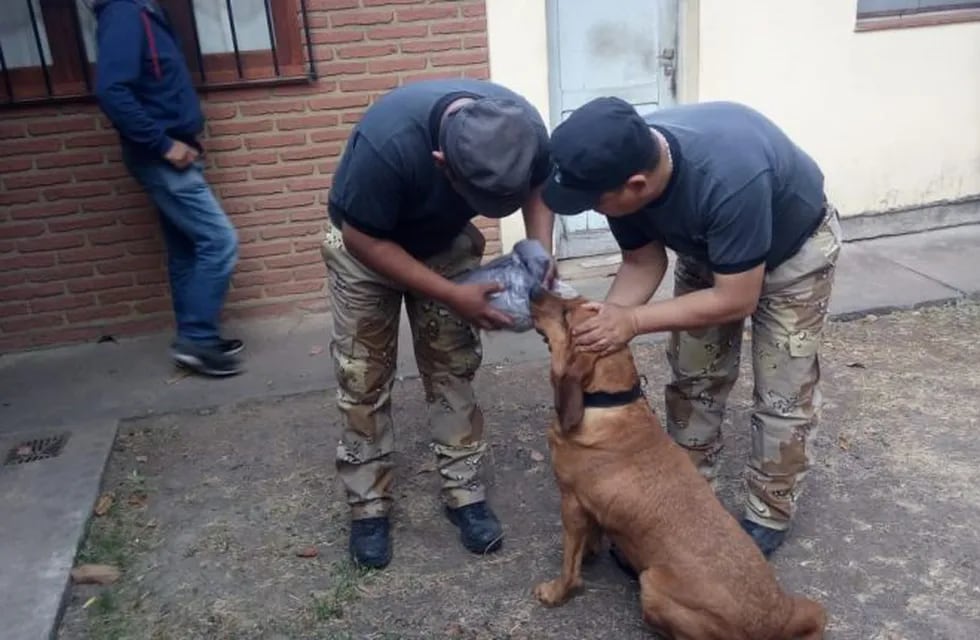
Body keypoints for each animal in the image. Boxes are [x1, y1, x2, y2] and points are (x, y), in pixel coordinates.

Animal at [532, 292, 824, 640]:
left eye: (565, 314)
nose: (533, 291)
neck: (608, 403)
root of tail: (775, 622)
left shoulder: (571, 503)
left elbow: (569, 564)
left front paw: (556, 591)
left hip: (652, 583)